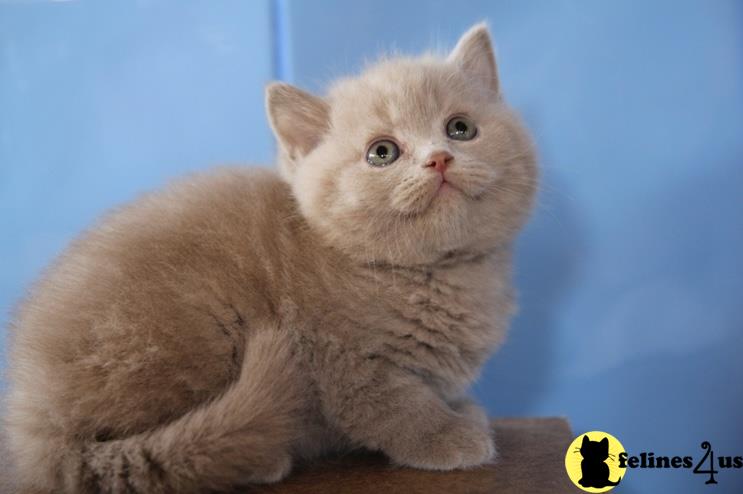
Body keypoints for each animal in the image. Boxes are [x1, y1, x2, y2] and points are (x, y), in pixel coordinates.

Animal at [1, 24, 536, 494]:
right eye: (382, 152)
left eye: (460, 128)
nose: (439, 159)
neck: (435, 274)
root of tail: (31, 424)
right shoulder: (343, 359)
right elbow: (394, 405)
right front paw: (448, 436)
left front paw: (461, 409)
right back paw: (261, 458)